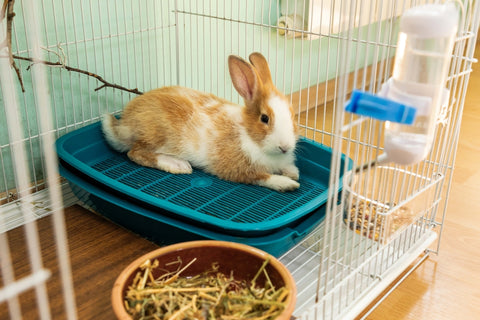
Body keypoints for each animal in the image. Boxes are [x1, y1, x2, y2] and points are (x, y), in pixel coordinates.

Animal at [102, 52, 300, 192]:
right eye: (265, 118)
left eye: (292, 114)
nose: (285, 147)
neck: (250, 136)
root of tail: (123, 125)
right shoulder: (238, 170)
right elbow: (262, 177)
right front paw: (287, 183)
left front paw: (293, 172)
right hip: (157, 136)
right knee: (135, 153)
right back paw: (177, 165)